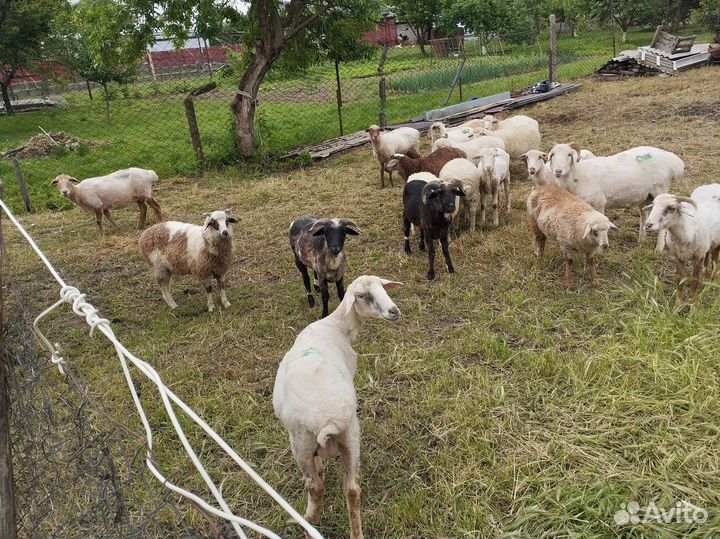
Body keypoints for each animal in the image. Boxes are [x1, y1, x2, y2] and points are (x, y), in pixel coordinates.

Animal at [273, 275, 401, 539]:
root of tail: (330, 421)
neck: (336, 326)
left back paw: (309, 519)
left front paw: (320, 469)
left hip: (300, 443)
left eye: (383, 288)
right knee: (352, 489)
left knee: (314, 486)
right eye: (363, 296)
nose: (394, 311)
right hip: (352, 436)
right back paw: (356, 533)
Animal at [547, 143, 684, 252]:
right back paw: (642, 239)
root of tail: (674, 161)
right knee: (643, 214)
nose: (558, 171)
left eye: (569, 155)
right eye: (552, 155)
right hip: (645, 195)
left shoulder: (599, 203)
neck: (579, 175)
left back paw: (658, 248)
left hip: (660, 189)